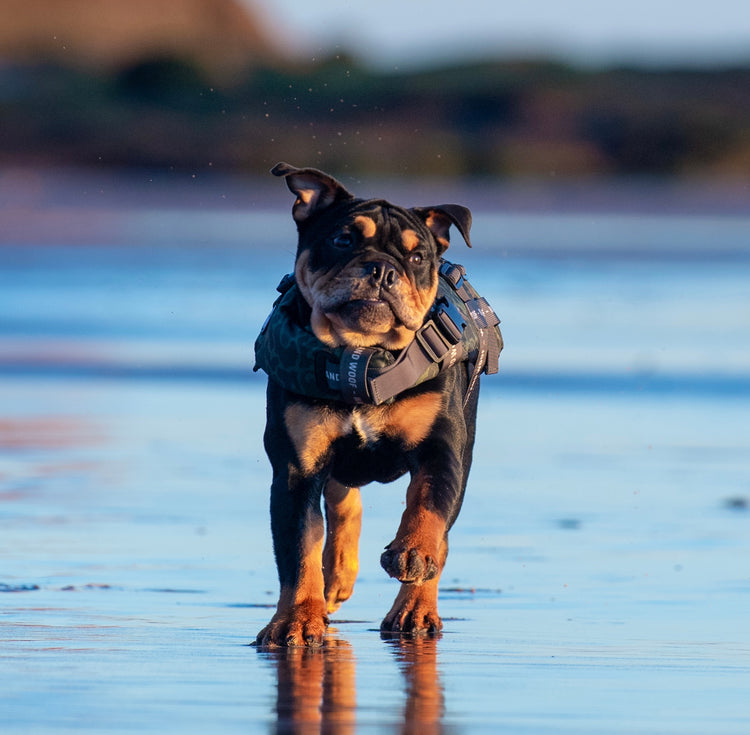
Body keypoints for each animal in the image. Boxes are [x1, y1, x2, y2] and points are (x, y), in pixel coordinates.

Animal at [253, 164, 500, 648]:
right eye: (343, 239)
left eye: (418, 258)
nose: (383, 269)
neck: (361, 357)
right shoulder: (296, 468)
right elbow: (299, 550)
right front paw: (297, 620)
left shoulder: (442, 450)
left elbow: (428, 507)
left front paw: (413, 551)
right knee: (341, 501)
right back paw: (336, 579)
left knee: (438, 536)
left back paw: (415, 609)